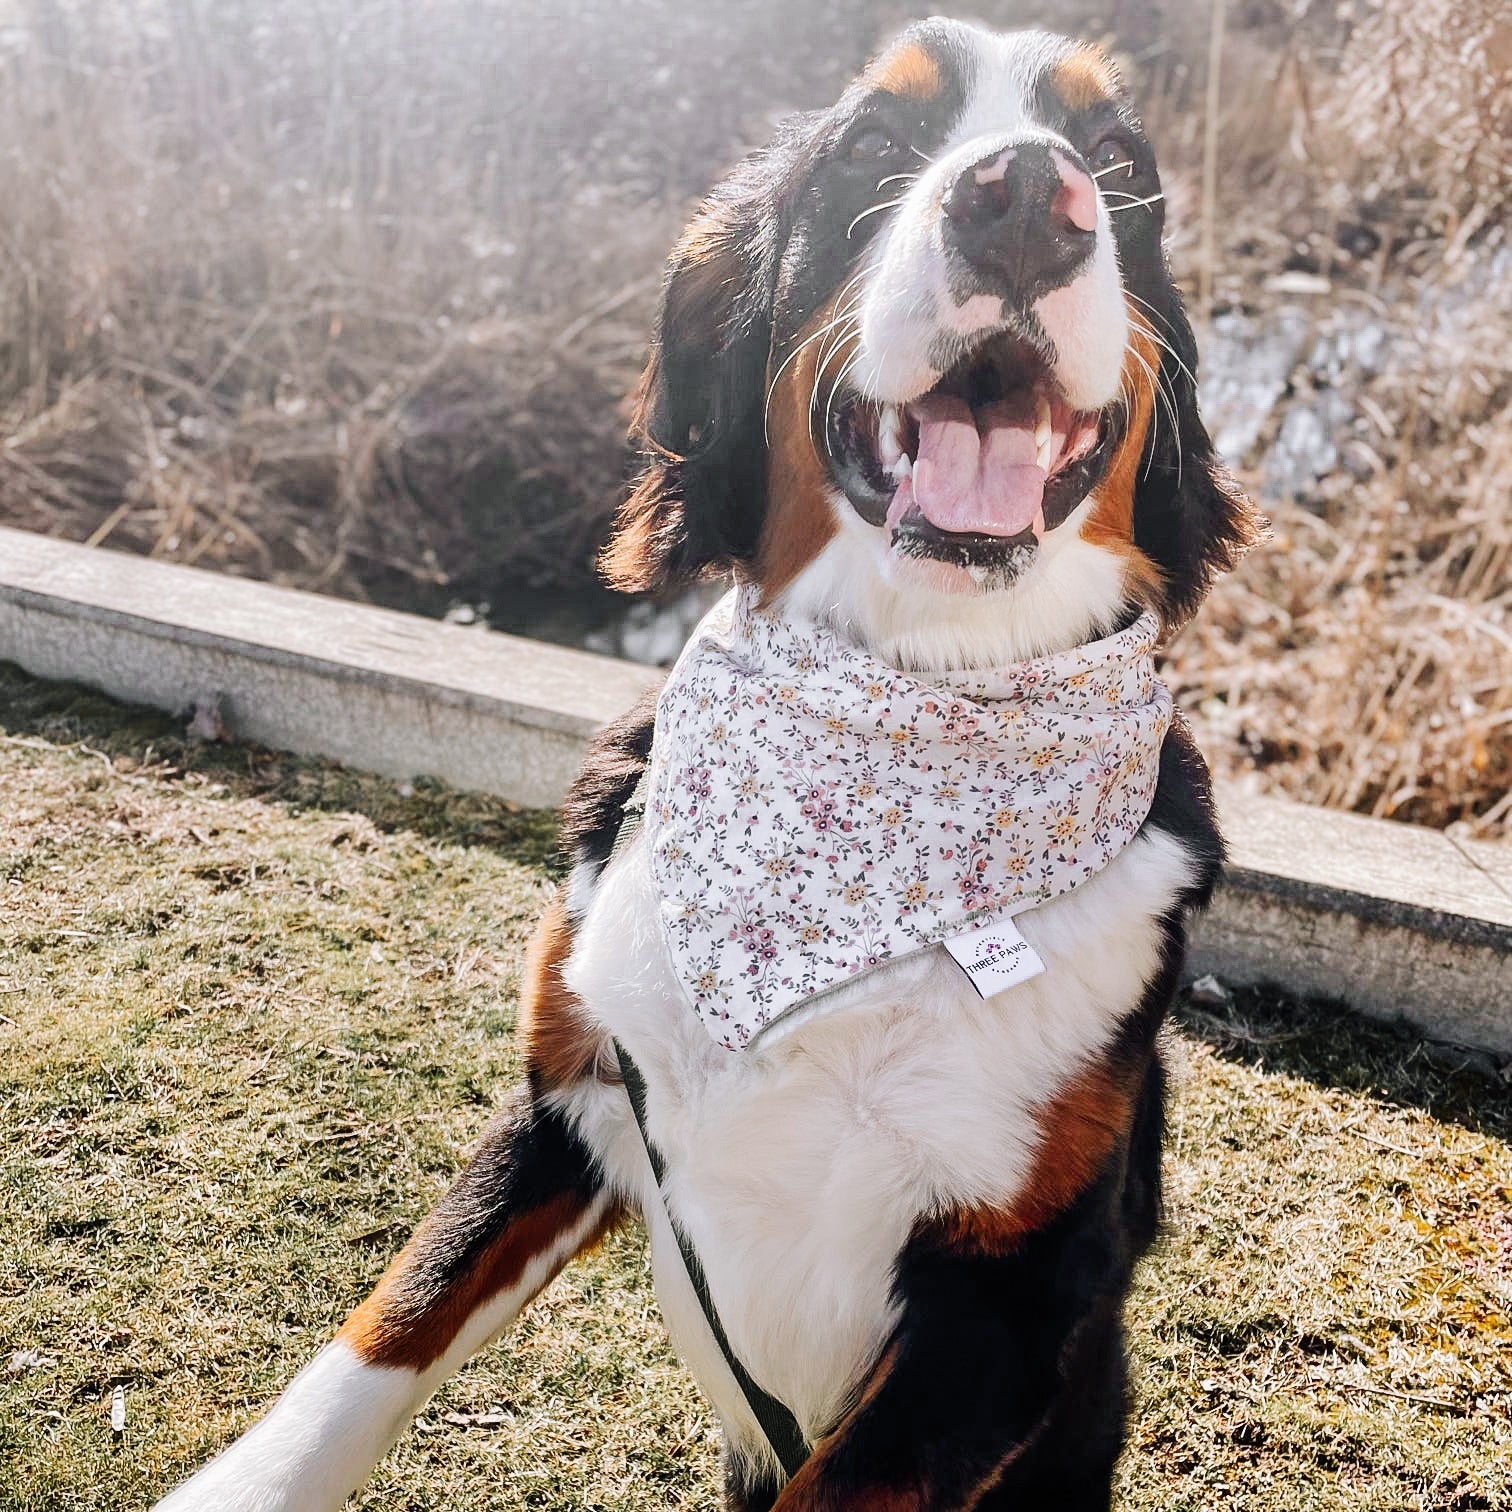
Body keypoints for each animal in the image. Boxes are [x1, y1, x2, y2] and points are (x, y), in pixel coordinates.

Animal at [159, 14, 1257, 1512]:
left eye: (1121, 160)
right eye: (875, 141)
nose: (1033, 197)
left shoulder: (1015, 1293)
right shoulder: (569, 1097)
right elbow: (392, 1320)